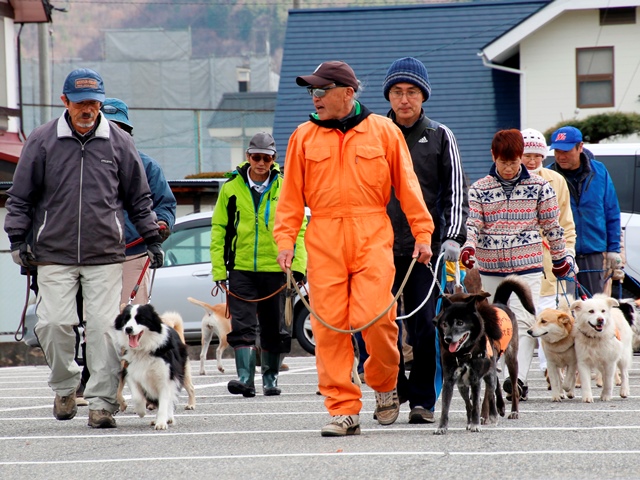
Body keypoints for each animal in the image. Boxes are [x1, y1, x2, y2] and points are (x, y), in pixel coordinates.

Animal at [432, 274, 532, 436]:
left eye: (459, 321)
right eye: (442, 308)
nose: (436, 321)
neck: (465, 351)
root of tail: (500, 304)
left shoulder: (477, 376)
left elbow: (484, 398)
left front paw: (482, 417)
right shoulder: (453, 379)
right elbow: (456, 405)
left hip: (511, 360)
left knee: (513, 387)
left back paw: (512, 411)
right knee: (493, 386)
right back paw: (499, 407)